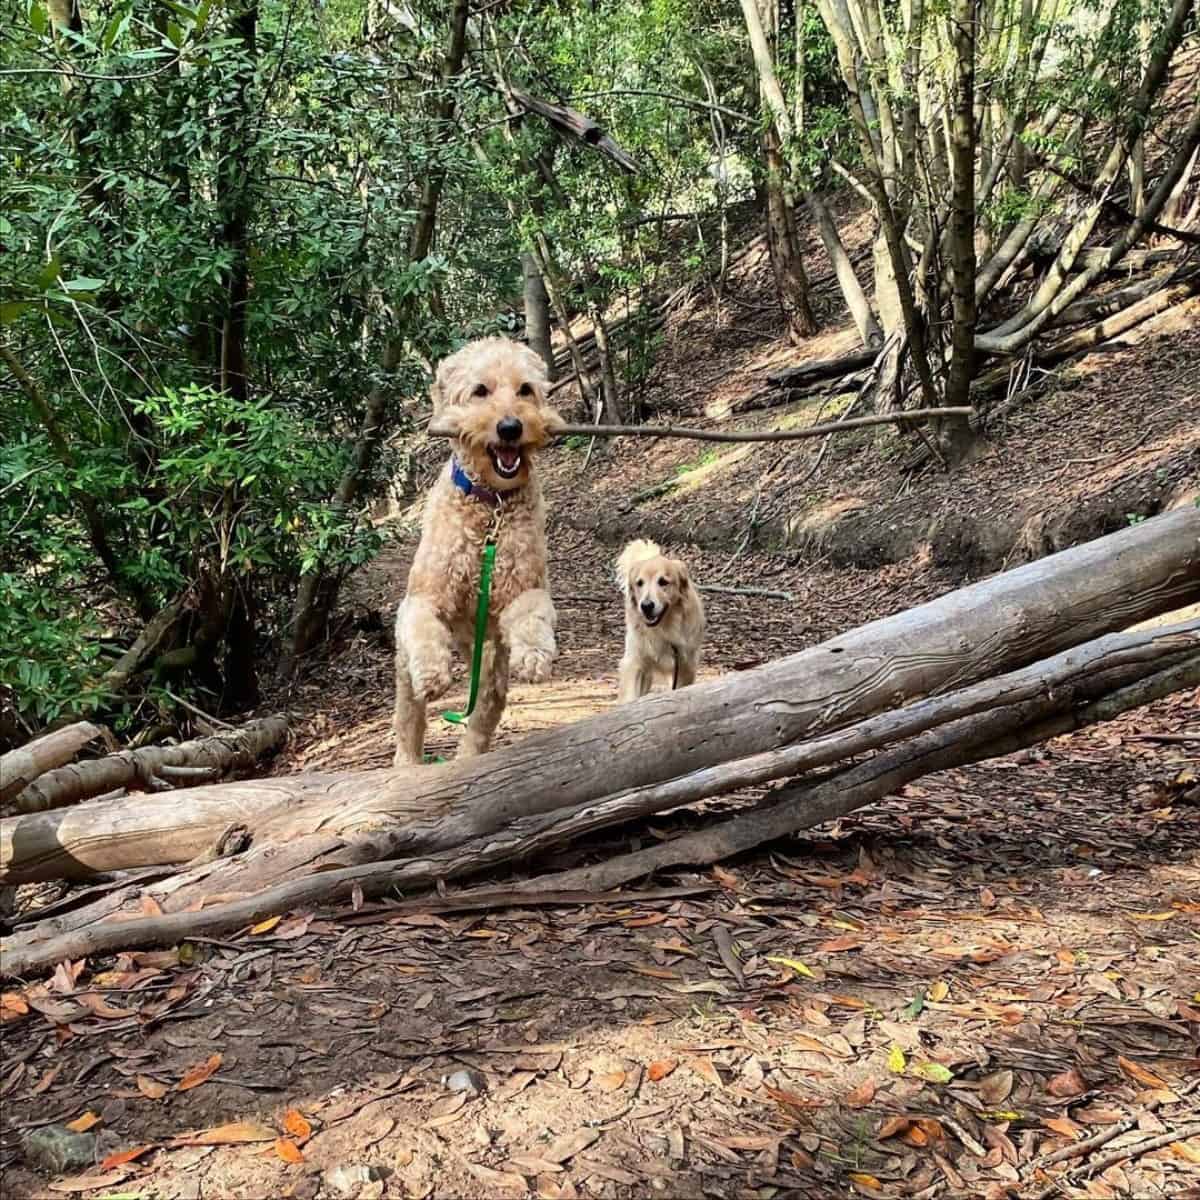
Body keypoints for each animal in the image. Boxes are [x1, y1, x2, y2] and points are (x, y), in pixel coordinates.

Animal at [391, 333, 564, 763]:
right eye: (480, 390)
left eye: (525, 389)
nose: (510, 427)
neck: (491, 506)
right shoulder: (423, 598)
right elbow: (423, 626)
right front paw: (434, 672)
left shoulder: (525, 587)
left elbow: (532, 614)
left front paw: (534, 656)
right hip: (408, 672)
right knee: (409, 716)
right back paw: (408, 760)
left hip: (489, 665)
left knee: (483, 714)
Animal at [614, 537, 705, 700]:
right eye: (639, 583)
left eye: (663, 582)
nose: (646, 606)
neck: (663, 630)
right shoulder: (635, 662)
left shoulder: (685, 666)